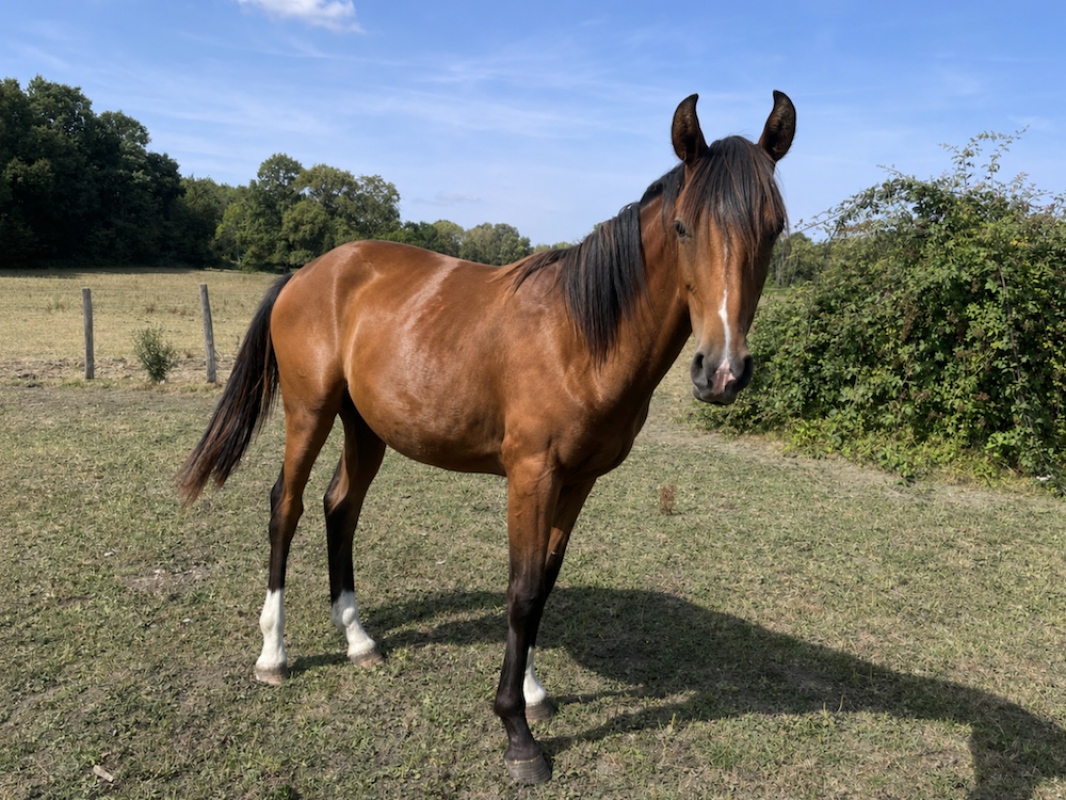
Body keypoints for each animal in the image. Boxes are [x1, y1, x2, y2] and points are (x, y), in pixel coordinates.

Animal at [178, 90, 795, 784]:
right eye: (684, 227)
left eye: (774, 228)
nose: (722, 371)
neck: (579, 335)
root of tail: (311, 271)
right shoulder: (531, 474)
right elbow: (521, 592)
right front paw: (517, 733)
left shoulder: (577, 482)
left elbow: (543, 587)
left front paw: (533, 692)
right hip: (309, 411)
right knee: (286, 507)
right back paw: (274, 655)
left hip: (366, 426)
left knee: (342, 507)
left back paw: (358, 638)